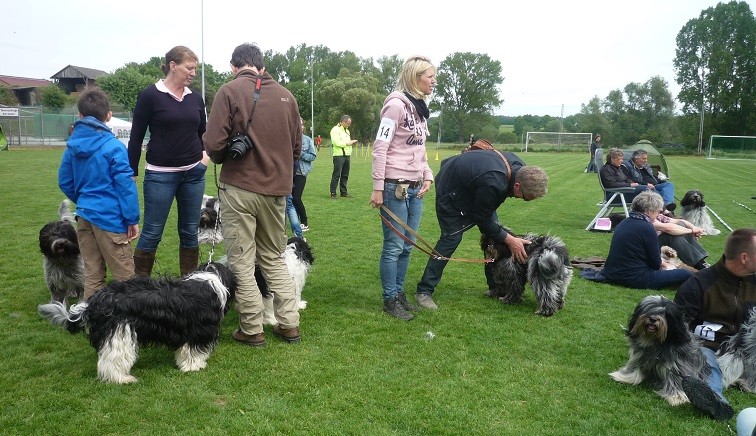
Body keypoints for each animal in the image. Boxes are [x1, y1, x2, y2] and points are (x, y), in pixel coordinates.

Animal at [35, 260, 235, 384]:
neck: (209, 281)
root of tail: (94, 302)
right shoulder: (198, 330)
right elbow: (193, 351)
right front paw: (194, 366)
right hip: (120, 333)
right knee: (112, 361)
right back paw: (122, 379)